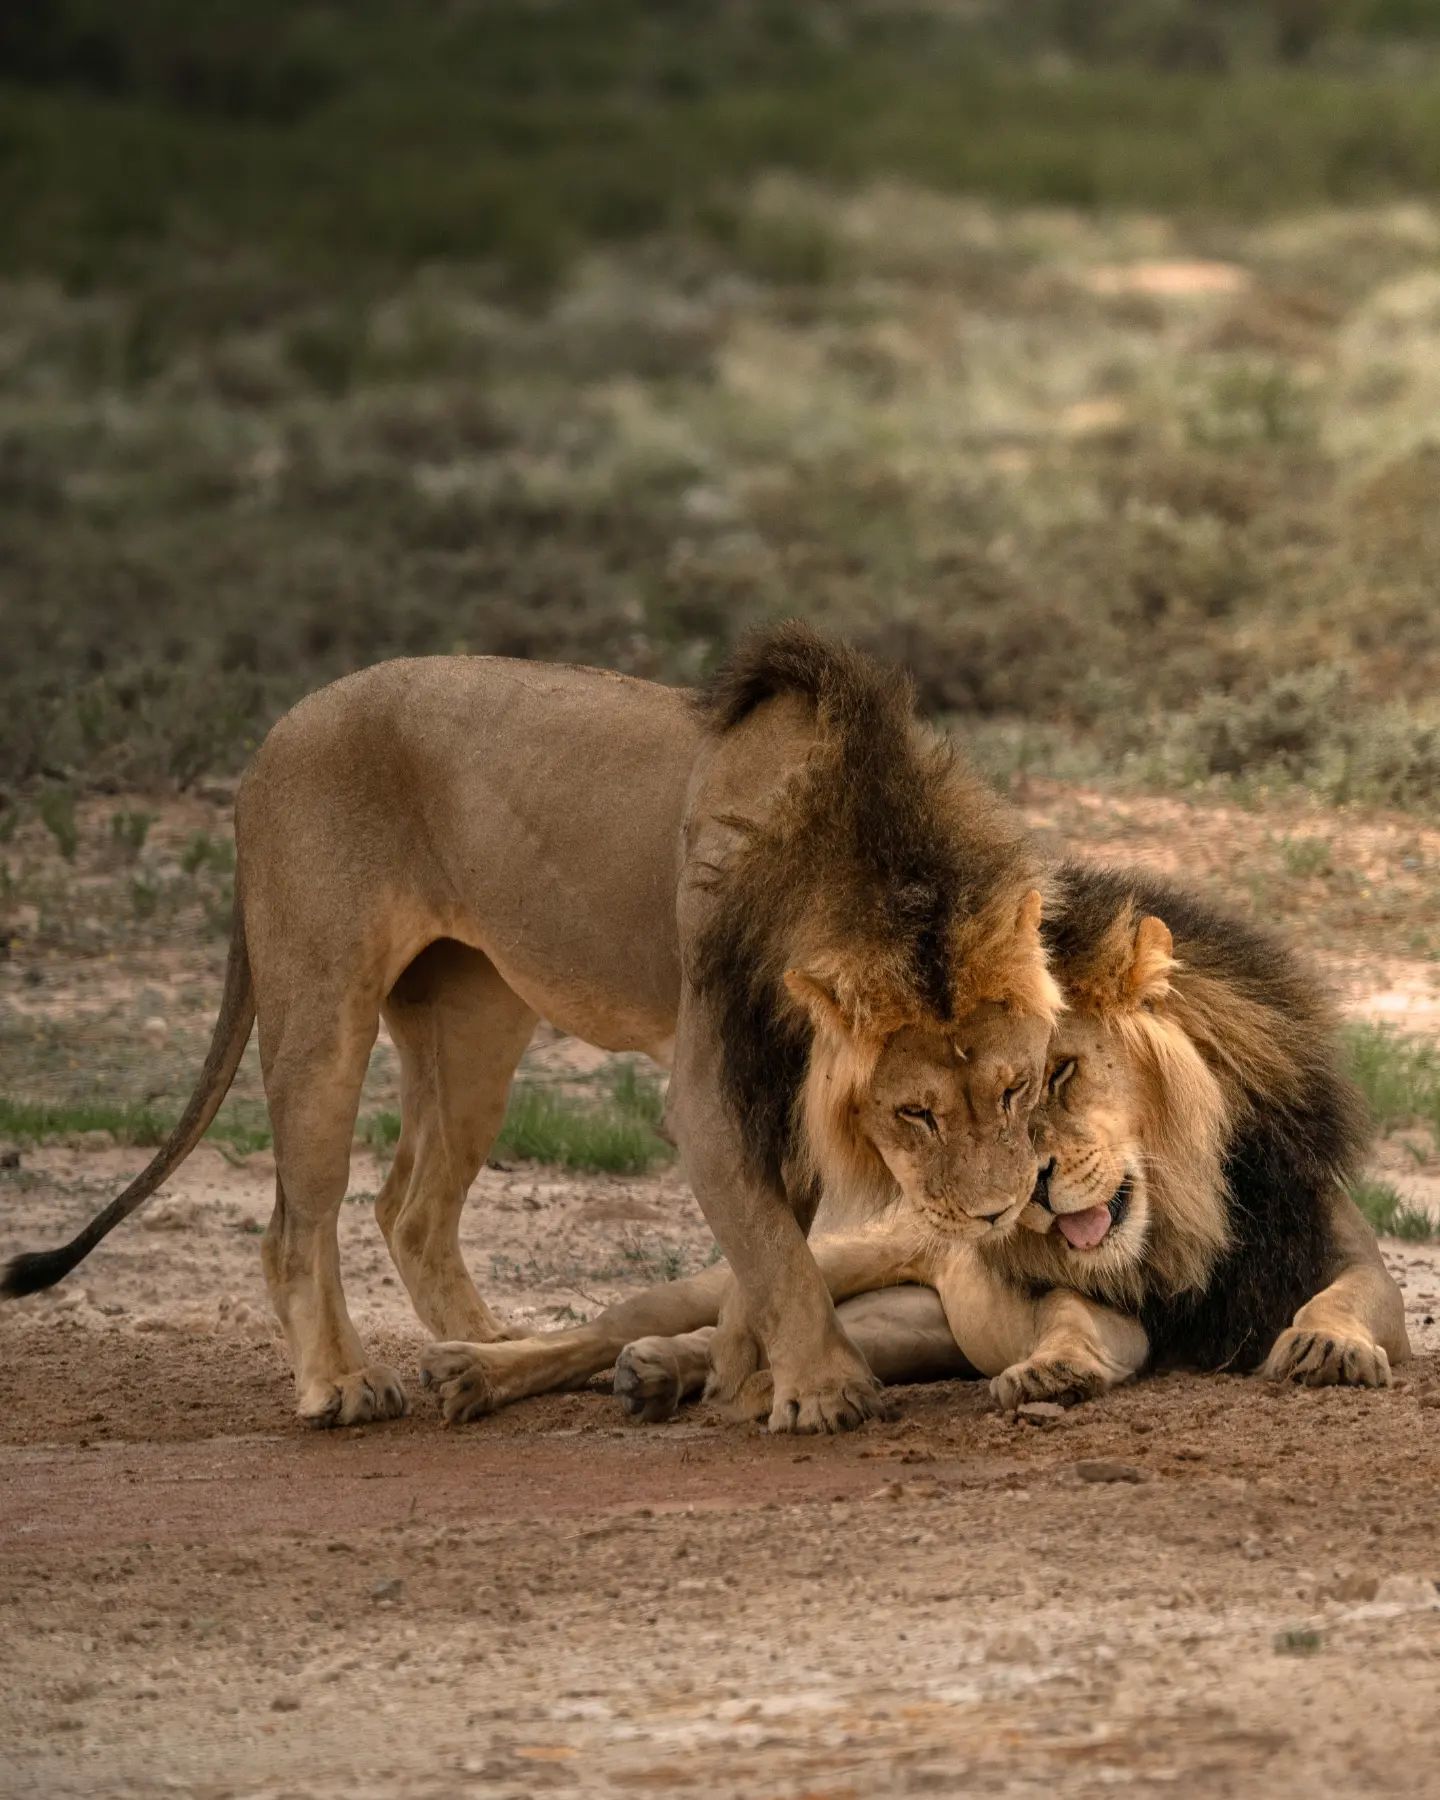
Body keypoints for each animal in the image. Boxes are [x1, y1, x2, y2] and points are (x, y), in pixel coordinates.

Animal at [2, 630, 1058, 1432]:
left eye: (1017, 1089)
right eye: (916, 1114)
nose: (1001, 1214)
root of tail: (272, 739)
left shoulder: (782, 1086)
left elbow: (768, 1249)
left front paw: (737, 1377)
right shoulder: (712, 1084)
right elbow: (774, 1251)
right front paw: (824, 1394)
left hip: (473, 1024)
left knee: (411, 1208)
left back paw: (484, 1351)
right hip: (320, 1005)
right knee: (297, 1222)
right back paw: (343, 1384)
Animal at [414, 864, 1404, 1425]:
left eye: (1053, 1074)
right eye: (1007, 1087)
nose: (1020, 1193)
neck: (1184, 1206)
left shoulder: (1341, 1251)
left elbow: (1350, 1296)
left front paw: (1328, 1350)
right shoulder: (1104, 1300)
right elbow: (1078, 1320)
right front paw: (1051, 1372)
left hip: (910, 1329)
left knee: (800, 1339)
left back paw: (661, 1376)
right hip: (826, 1253)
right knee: (633, 1319)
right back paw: (476, 1374)